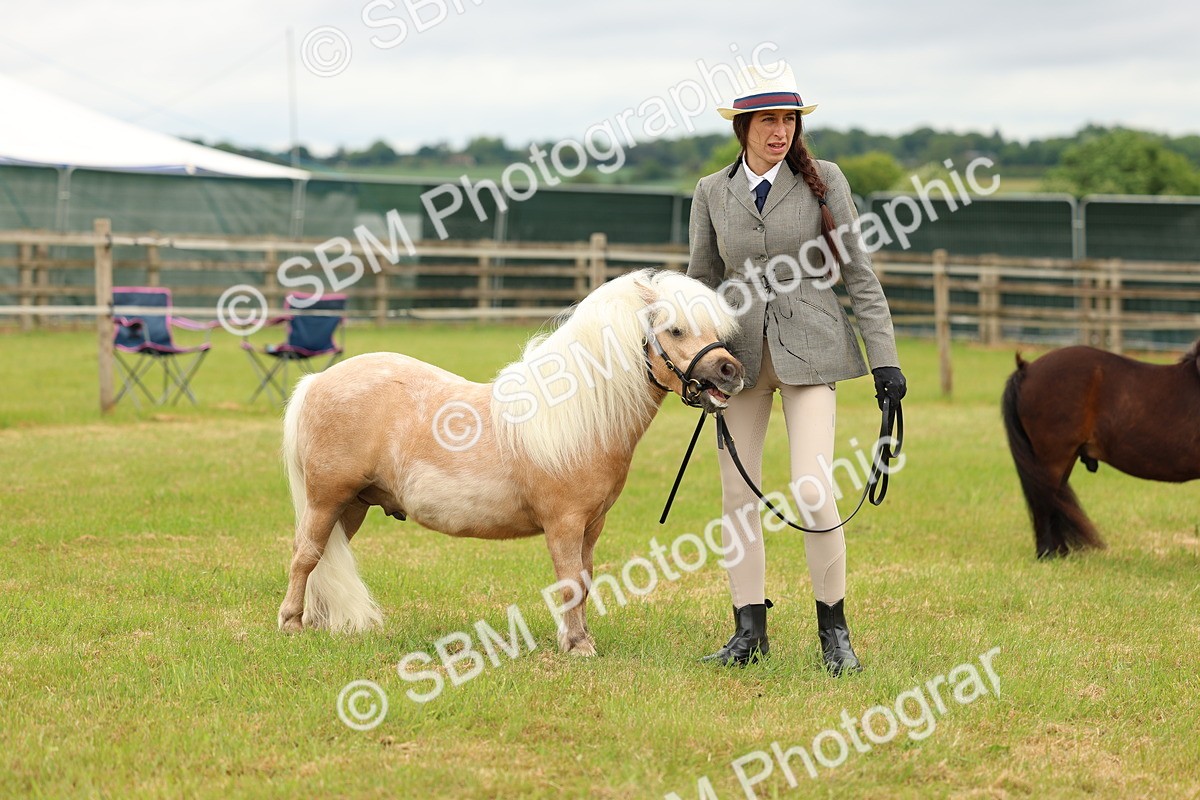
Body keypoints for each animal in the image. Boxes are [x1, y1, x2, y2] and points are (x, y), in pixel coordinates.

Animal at [276, 268, 745, 655]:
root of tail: (318, 380)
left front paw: (579, 638)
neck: (578, 419)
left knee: (323, 556)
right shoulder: (564, 524)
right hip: (326, 499)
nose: (731, 371)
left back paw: (317, 623)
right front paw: (578, 647)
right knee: (305, 555)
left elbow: (585, 581)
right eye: (676, 329)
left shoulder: (592, 526)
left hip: (353, 505)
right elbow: (570, 583)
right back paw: (292, 625)